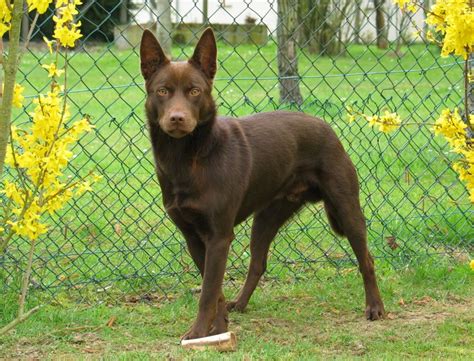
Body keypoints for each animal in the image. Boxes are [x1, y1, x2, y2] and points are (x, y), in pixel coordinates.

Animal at [140, 27, 386, 338]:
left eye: (195, 91)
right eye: (162, 91)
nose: (177, 118)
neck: (188, 157)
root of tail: (326, 126)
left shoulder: (219, 236)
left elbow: (208, 292)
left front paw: (198, 334)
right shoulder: (193, 237)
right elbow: (214, 289)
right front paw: (219, 328)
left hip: (346, 207)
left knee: (367, 259)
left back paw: (375, 307)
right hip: (267, 216)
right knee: (258, 263)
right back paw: (241, 304)